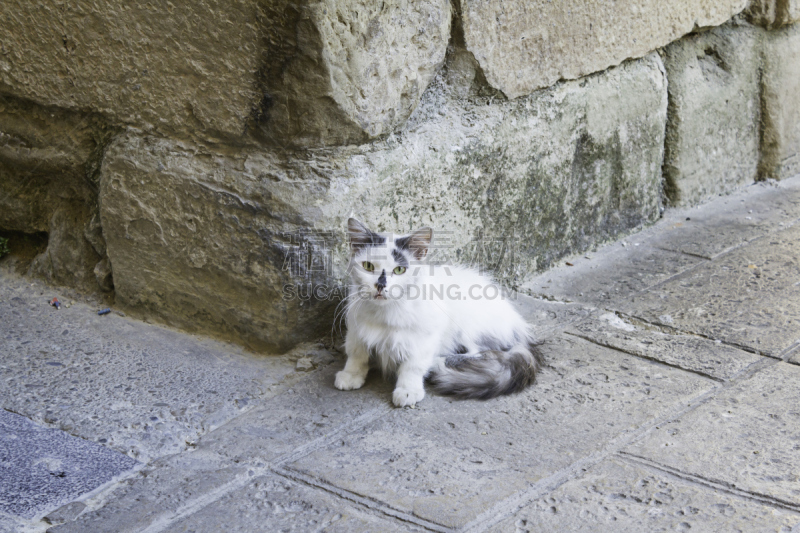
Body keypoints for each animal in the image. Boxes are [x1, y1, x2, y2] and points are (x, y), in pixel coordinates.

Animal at [332, 218, 544, 406]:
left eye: (399, 270)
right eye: (368, 266)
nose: (380, 285)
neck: (384, 314)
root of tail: (518, 324)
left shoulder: (425, 335)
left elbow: (413, 365)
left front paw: (408, 390)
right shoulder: (356, 329)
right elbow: (357, 354)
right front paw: (351, 374)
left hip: (468, 323)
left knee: (479, 351)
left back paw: (438, 363)